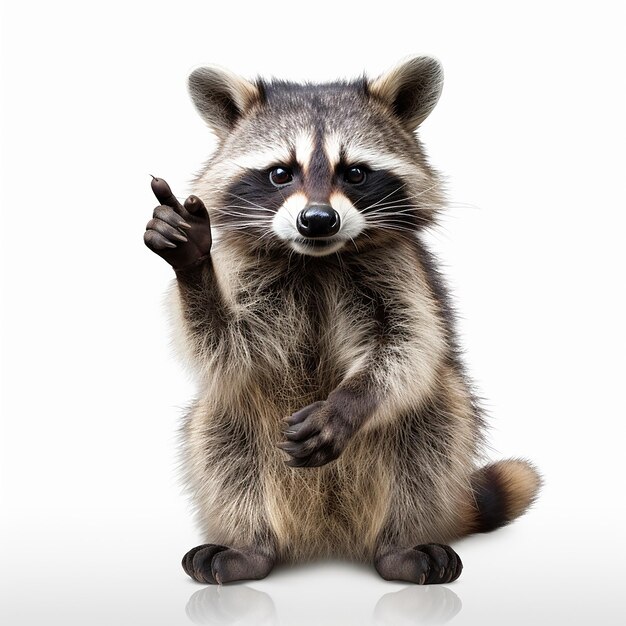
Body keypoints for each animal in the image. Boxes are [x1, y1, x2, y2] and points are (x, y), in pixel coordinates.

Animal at [143, 56, 536, 584]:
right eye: (280, 174)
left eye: (355, 173)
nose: (317, 219)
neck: (318, 259)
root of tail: (329, 529)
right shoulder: (249, 270)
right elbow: (228, 347)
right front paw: (191, 262)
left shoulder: (402, 270)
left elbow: (409, 346)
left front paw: (349, 404)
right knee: (222, 428)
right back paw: (252, 544)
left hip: (429, 448)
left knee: (434, 428)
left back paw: (399, 543)